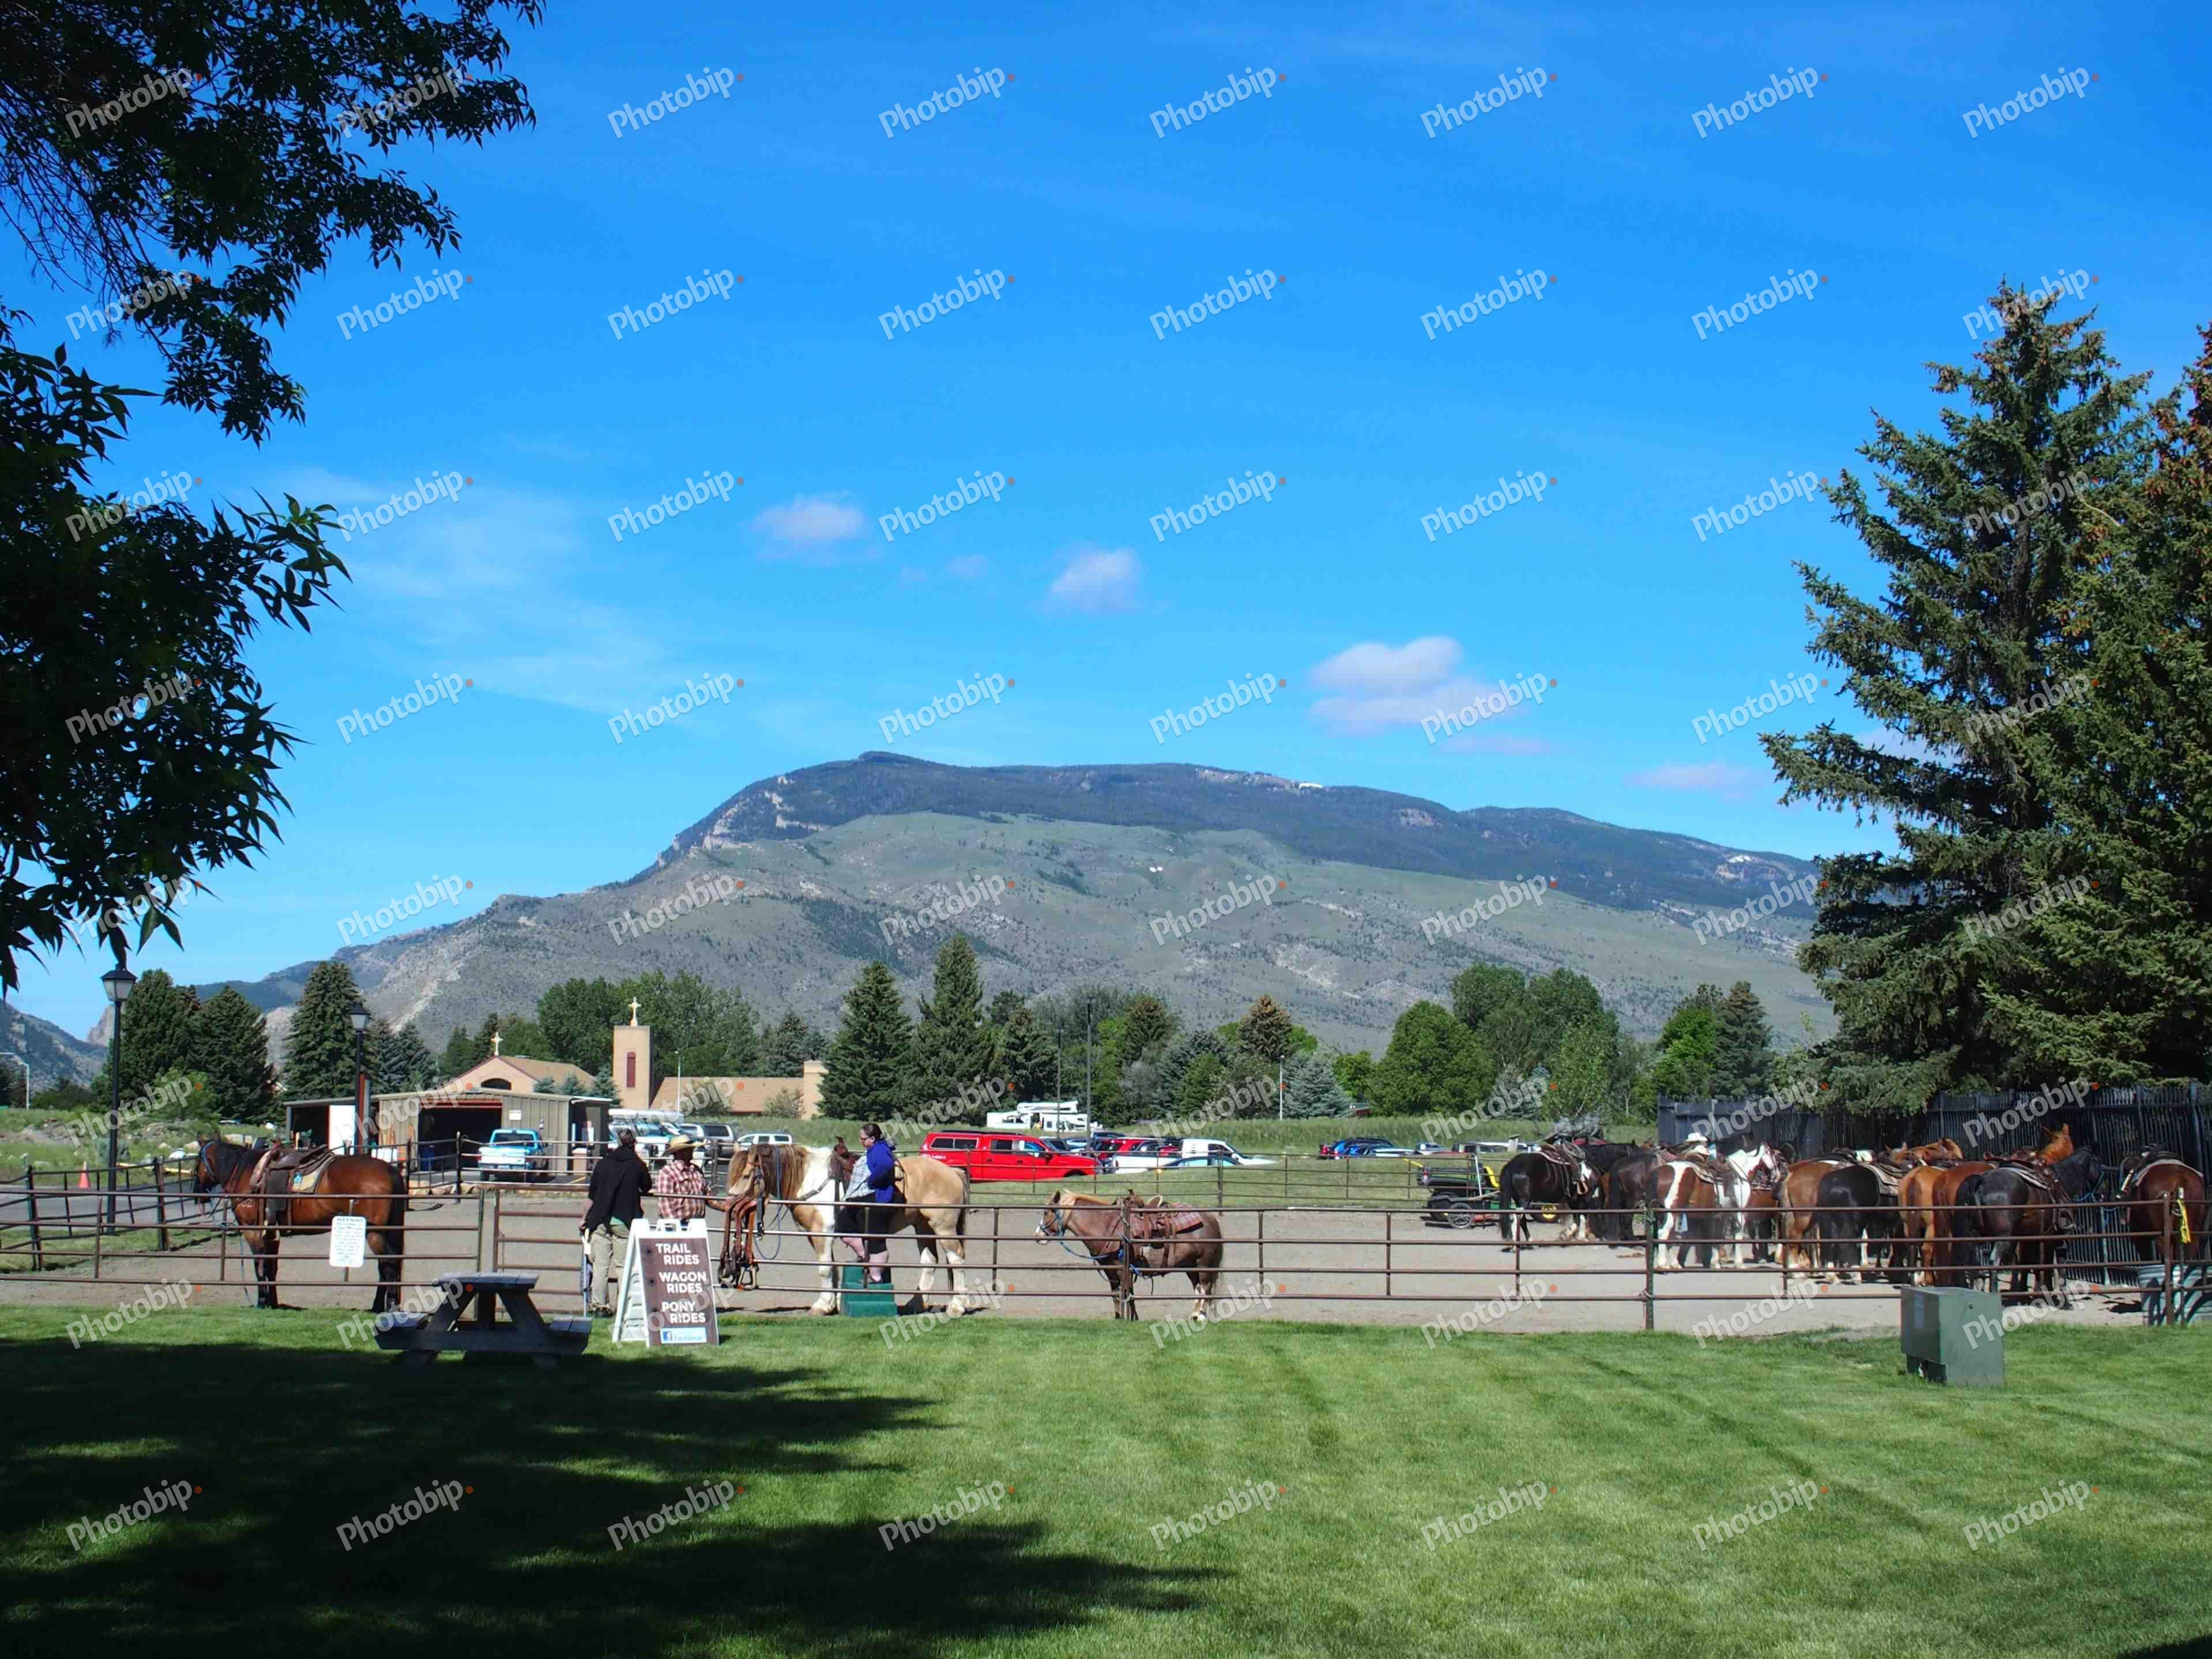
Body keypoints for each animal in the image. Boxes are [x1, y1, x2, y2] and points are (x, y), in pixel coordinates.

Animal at [193, 1137, 408, 1311]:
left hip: (375, 1233)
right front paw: (273, 1303)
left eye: (197, 1162)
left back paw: (387, 1307)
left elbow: (259, 1264)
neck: (247, 1172)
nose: (197, 1193)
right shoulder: (271, 1233)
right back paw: (380, 1306)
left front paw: (262, 1301)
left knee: (389, 1264)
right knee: (388, 1266)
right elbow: (272, 1266)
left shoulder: (252, 1230)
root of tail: (391, 1171)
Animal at [723, 1140, 974, 1316]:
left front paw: (821, 1306)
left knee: (957, 1260)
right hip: (923, 1226)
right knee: (929, 1261)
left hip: (944, 1227)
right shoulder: (816, 1235)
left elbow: (824, 1269)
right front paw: (831, 1304)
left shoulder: (822, 1233)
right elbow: (832, 1269)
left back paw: (957, 1306)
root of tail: (953, 1173)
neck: (810, 1180)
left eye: (747, 1175)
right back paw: (916, 1303)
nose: (730, 1205)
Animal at [1955, 1145, 2102, 1302]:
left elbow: (2030, 1264)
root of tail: (1981, 1181)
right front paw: (2062, 1301)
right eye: (2101, 1167)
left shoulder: (2028, 1238)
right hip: (2002, 1238)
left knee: (1975, 1263)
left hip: (1976, 1236)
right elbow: (2055, 1265)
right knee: (1994, 1260)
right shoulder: (2058, 1237)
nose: (2104, 1192)